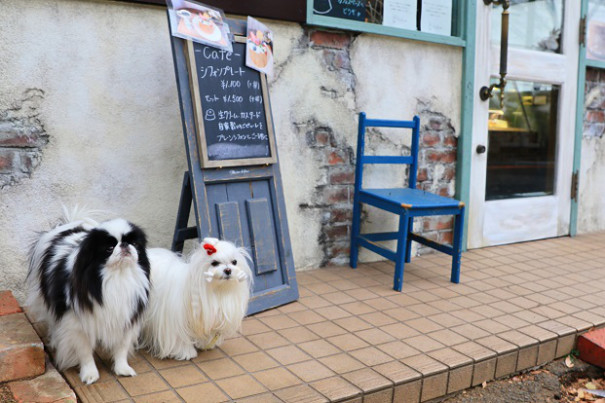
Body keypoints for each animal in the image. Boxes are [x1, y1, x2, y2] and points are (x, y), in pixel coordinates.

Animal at [26, 211, 151, 386]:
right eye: (109, 248)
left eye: (134, 243)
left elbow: (122, 347)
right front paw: (90, 374)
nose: (125, 245)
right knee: (54, 321)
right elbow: (85, 353)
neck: (118, 276)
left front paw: (122, 369)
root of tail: (69, 226)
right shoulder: (77, 324)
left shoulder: (126, 317)